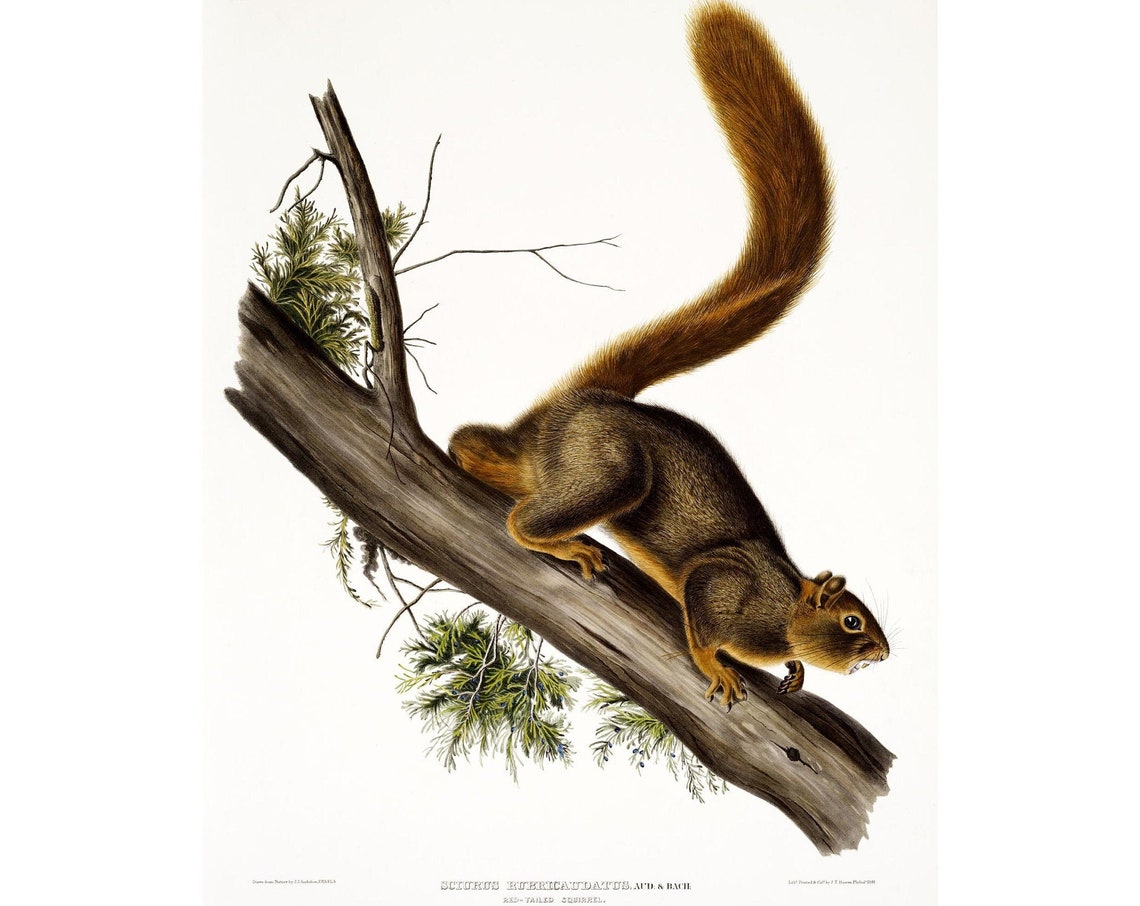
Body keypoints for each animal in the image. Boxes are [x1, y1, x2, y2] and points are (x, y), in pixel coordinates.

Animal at [448, 2, 889, 705]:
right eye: (852, 621)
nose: (884, 651)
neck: (783, 605)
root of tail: (578, 403)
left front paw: (793, 671)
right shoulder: (720, 585)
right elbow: (704, 620)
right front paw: (719, 665)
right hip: (609, 469)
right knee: (520, 513)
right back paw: (564, 544)